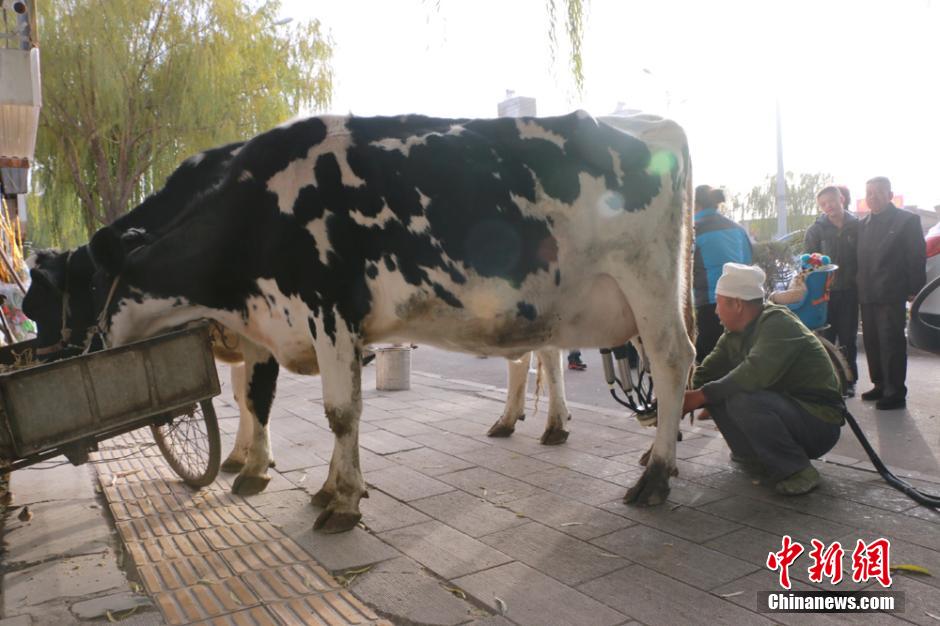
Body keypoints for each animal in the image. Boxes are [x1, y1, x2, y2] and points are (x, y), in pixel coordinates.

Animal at [23, 143, 575, 482]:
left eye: (85, 287)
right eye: (31, 305)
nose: (58, 354)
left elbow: (257, 398)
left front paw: (255, 466)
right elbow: (241, 397)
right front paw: (241, 456)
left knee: (549, 357)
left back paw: (554, 425)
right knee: (521, 358)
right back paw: (508, 420)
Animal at [86, 111, 694, 533]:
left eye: (88, 288)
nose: (89, 348)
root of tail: (654, 123)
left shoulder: (328, 312)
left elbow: (338, 412)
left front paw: (342, 502)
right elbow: (318, 407)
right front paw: (329, 489)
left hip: (647, 276)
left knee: (672, 359)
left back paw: (654, 475)